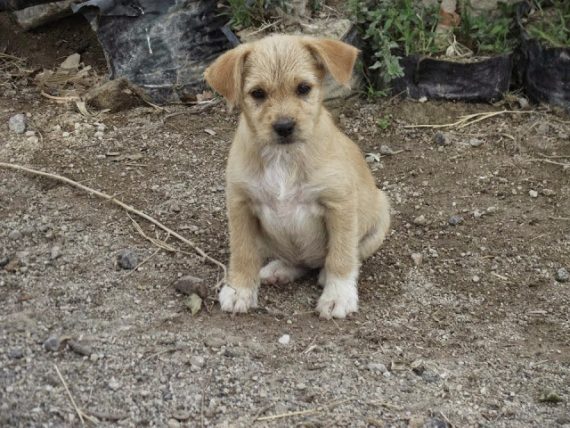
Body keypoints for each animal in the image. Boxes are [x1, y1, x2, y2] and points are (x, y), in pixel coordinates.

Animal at [202, 36, 388, 318]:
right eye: (258, 93)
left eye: (303, 88)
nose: (284, 126)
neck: (284, 156)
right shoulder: (240, 205)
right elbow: (243, 253)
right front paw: (239, 289)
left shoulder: (339, 205)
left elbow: (341, 255)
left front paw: (338, 295)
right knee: (298, 261)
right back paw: (280, 269)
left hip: (381, 216)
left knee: (342, 257)